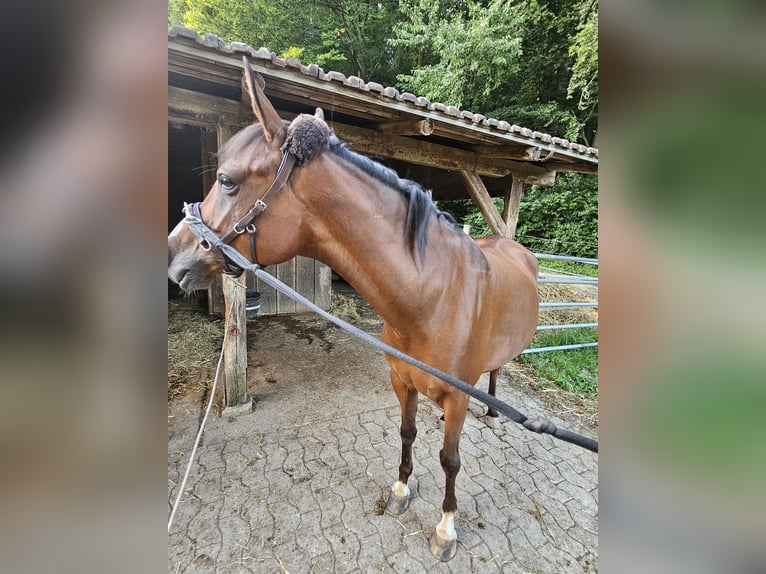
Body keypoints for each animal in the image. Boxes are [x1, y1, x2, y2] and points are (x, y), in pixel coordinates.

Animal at [168, 62, 540, 564]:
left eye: (226, 180)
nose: (174, 254)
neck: (435, 297)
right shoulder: (402, 381)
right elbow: (407, 433)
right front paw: (401, 491)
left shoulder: (456, 397)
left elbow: (450, 460)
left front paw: (446, 528)